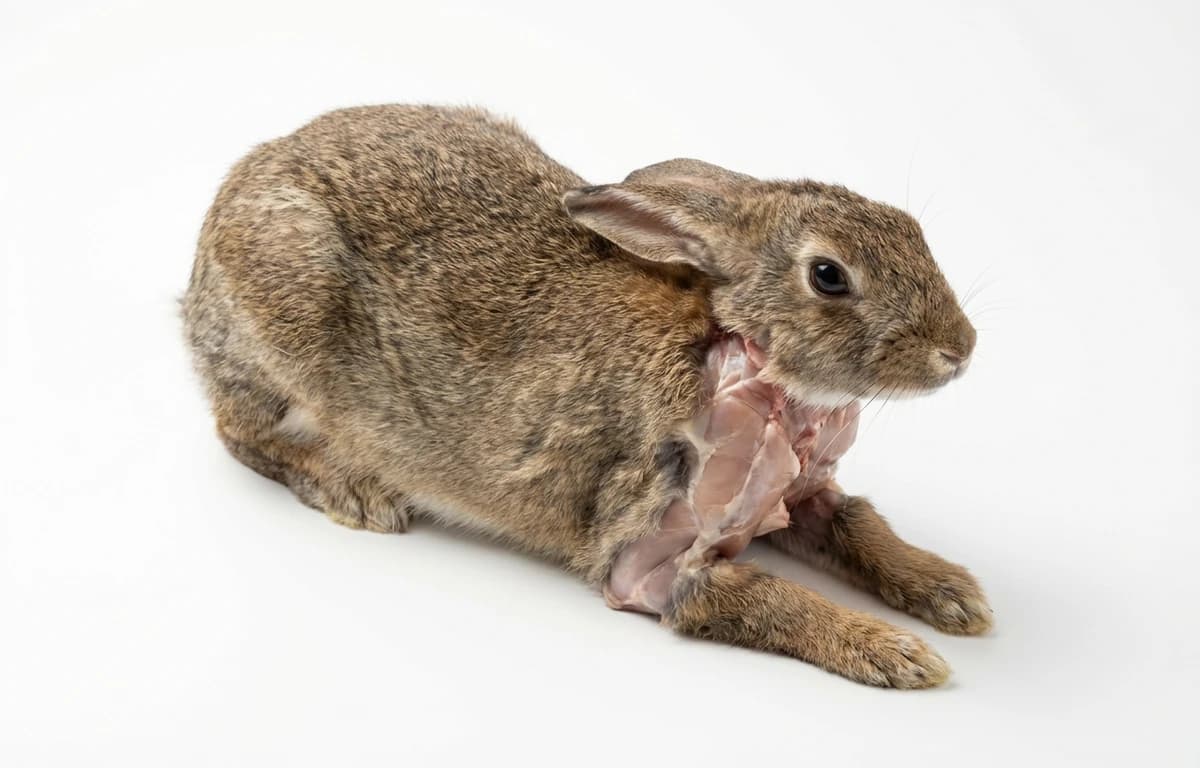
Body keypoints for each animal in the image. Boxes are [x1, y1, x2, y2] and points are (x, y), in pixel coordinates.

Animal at [182, 104, 990, 688]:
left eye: (911, 229)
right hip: (287, 316)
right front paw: (896, 653)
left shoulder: (803, 497)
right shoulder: (649, 558)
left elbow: (858, 523)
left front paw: (951, 593)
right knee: (241, 431)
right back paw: (354, 491)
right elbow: (764, 596)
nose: (960, 349)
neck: (740, 357)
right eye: (828, 276)